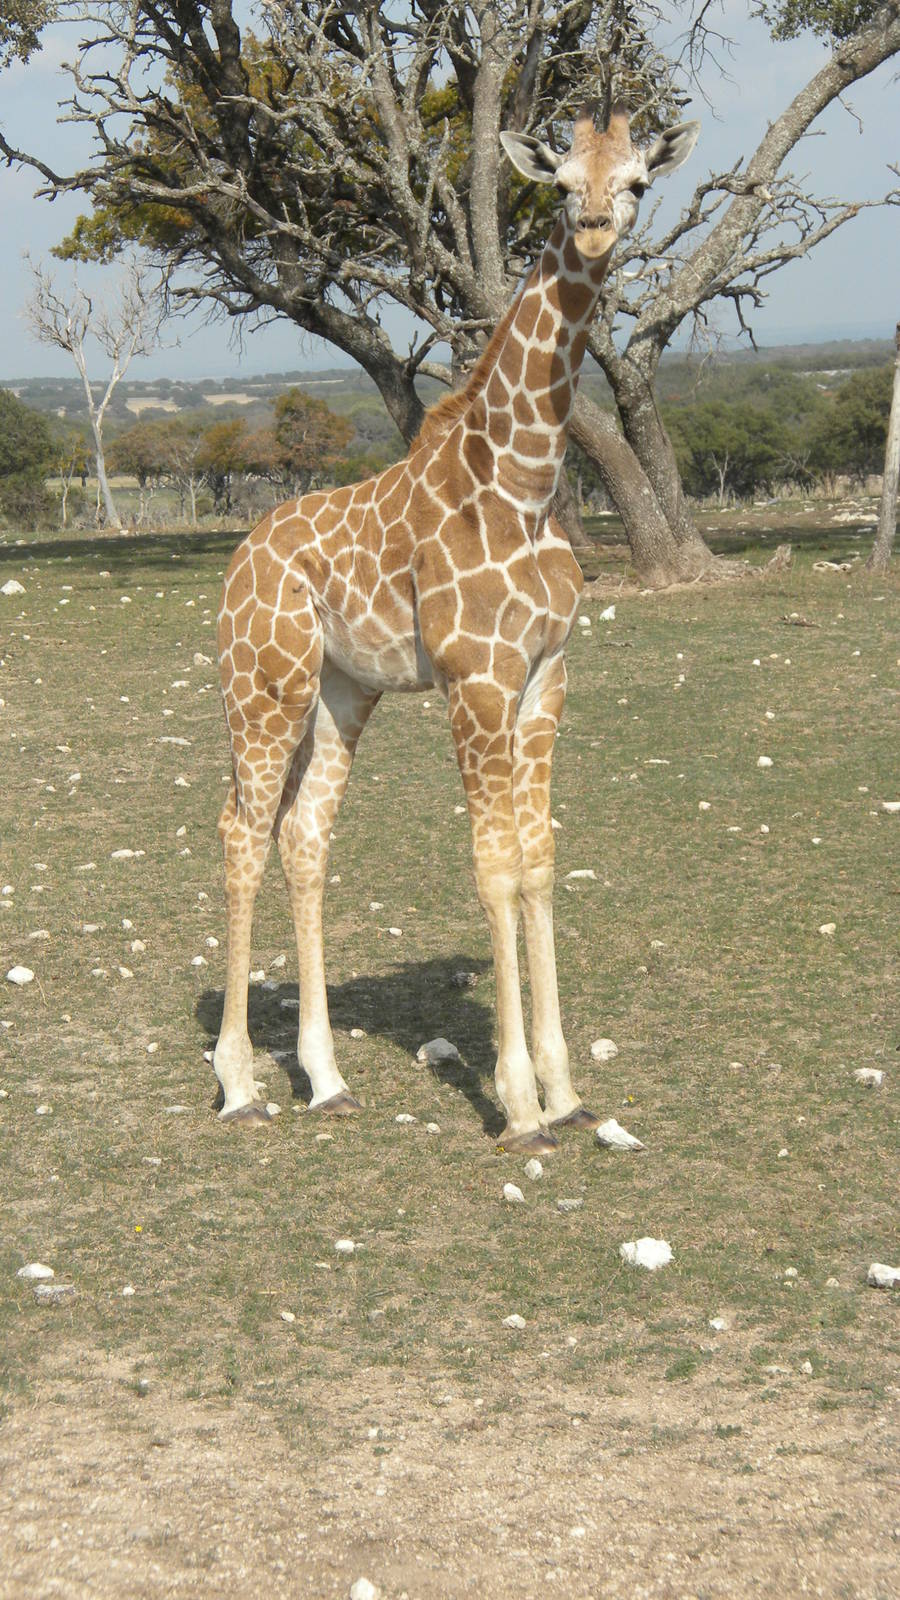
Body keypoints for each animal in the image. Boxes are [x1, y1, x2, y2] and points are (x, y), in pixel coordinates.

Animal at [213, 102, 699, 1153]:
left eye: (637, 181)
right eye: (561, 184)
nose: (593, 229)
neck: (524, 478)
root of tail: (240, 556)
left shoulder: (546, 678)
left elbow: (540, 861)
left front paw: (567, 1091)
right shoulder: (476, 681)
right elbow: (493, 870)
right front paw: (518, 1106)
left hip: (343, 691)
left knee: (303, 836)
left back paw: (325, 1078)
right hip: (264, 684)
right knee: (242, 830)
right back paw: (238, 1082)